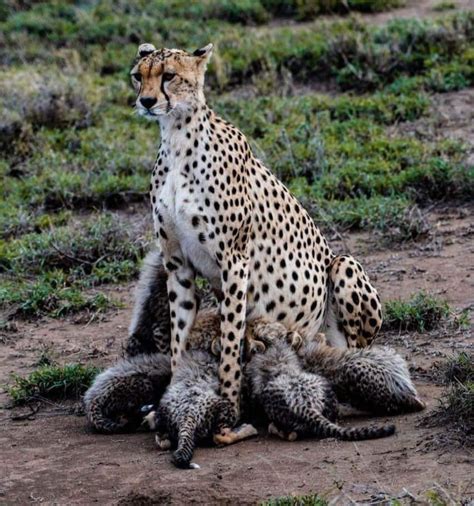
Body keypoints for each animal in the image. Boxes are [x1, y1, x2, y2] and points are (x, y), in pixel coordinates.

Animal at [131, 43, 384, 422]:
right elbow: (179, 339)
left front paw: (229, 405)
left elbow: (231, 341)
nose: (146, 101)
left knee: (353, 348)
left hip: (343, 265)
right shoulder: (177, 265)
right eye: (138, 75)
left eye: (169, 76)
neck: (176, 137)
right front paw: (170, 402)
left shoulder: (235, 261)